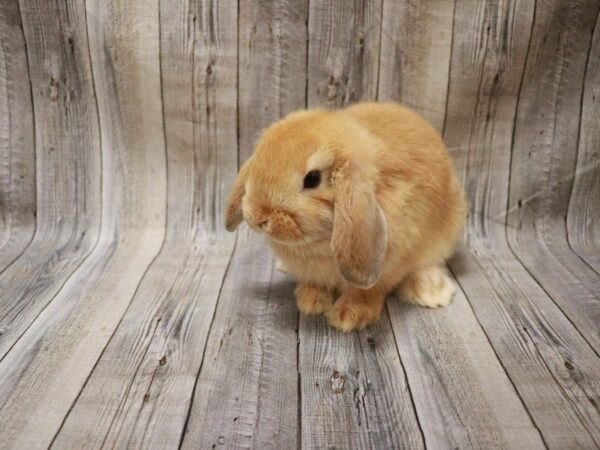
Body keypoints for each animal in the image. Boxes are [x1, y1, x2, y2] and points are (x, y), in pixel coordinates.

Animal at [226, 103, 468, 332]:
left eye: (312, 179)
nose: (257, 217)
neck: (318, 242)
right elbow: (315, 283)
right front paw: (310, 301)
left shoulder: (387, 267)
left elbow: (367, 291)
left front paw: (349, 316)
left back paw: (431, 292)